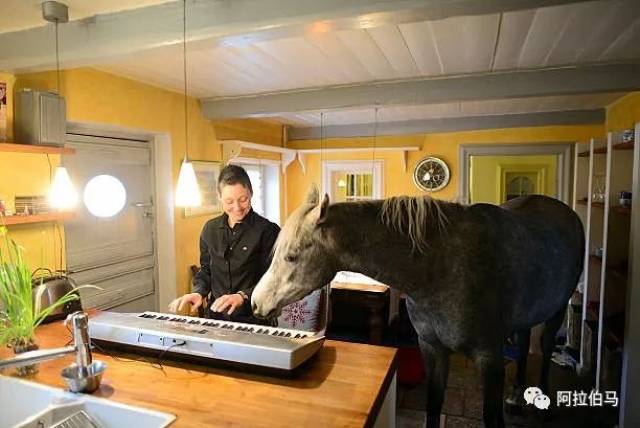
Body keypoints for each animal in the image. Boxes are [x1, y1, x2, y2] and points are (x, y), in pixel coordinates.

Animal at [252, 187, 584, 428]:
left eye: (292, 256)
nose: (256, 302)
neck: (442, 267)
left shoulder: (490, 357)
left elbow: (490, 417)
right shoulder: (432, 348)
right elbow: (433, 406)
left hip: (557, 310)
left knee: (545, 344)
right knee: (526, 340)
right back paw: (516, 396)